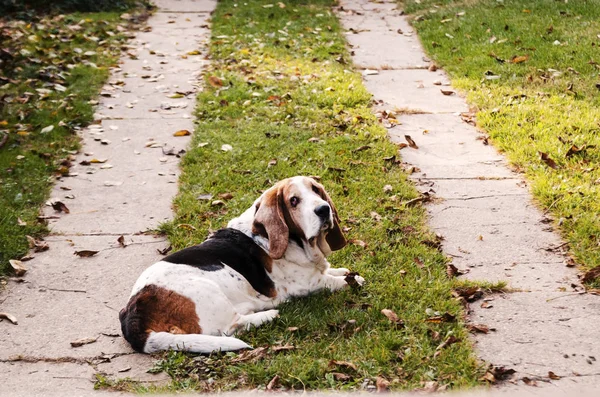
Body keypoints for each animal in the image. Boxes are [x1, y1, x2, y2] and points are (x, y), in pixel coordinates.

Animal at [117, 176, 360, 352]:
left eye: (316, 190)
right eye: (294, 201)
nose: (323, 209)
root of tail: (133, 315)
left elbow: (332, 270)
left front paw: (343, 271)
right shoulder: (306, 284)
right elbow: (332, 280)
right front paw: (351, 279)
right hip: (207, 291)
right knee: (230, 328)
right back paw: (267, 315)